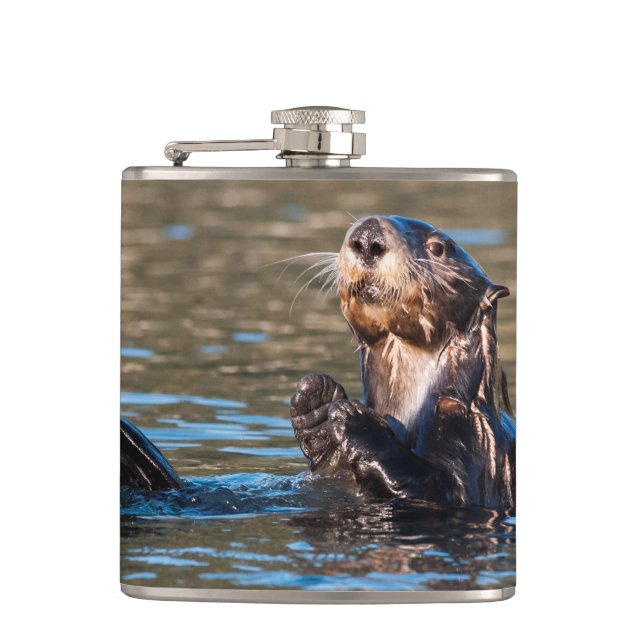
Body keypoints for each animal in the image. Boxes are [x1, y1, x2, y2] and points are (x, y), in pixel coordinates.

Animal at [290, 216, 515, 511]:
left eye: (438, 248)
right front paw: (316, 400)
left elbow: (446, 489)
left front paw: (354, 418)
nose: (367, 237)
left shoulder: (475, 435)